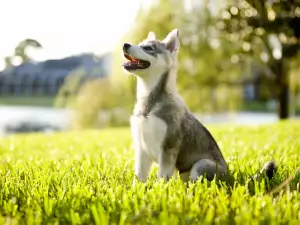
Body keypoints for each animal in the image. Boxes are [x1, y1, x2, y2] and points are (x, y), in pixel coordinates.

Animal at [121, 28, 276, 183]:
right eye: (140, 44)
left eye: (148, 48)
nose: (125, 44)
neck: (149, 104)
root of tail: (231, 177)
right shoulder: (141, 149)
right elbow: (139, 178)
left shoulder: (168, 148)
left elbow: (162, 178)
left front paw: (160, 188)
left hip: (200, 165)